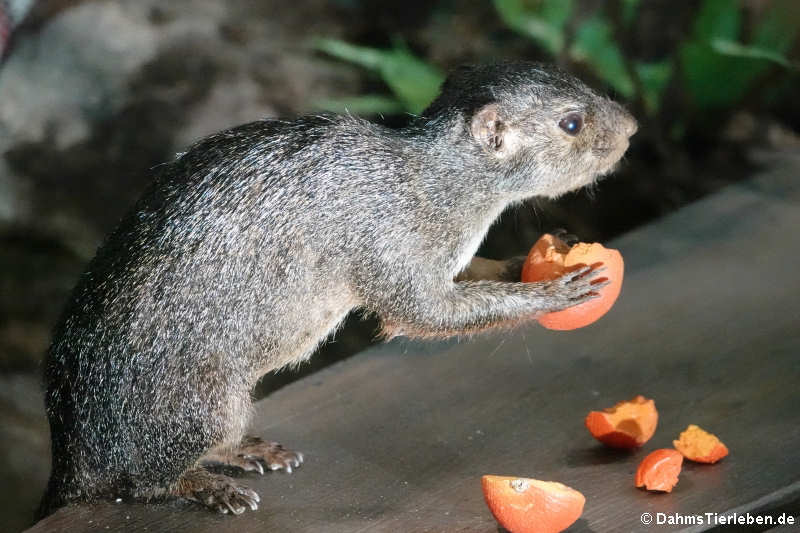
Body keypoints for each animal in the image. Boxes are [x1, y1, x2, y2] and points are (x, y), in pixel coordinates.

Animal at [39, 61, 636, 516]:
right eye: (573, 123)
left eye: (581, 84)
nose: (632, 126)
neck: (436, 185)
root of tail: (70, 448)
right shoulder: (393, 251)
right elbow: (425, 314)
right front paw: (555, 291)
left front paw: (535, 256)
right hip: (205, 399)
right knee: (145, 480)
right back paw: (210, 485)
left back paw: (247, 451)